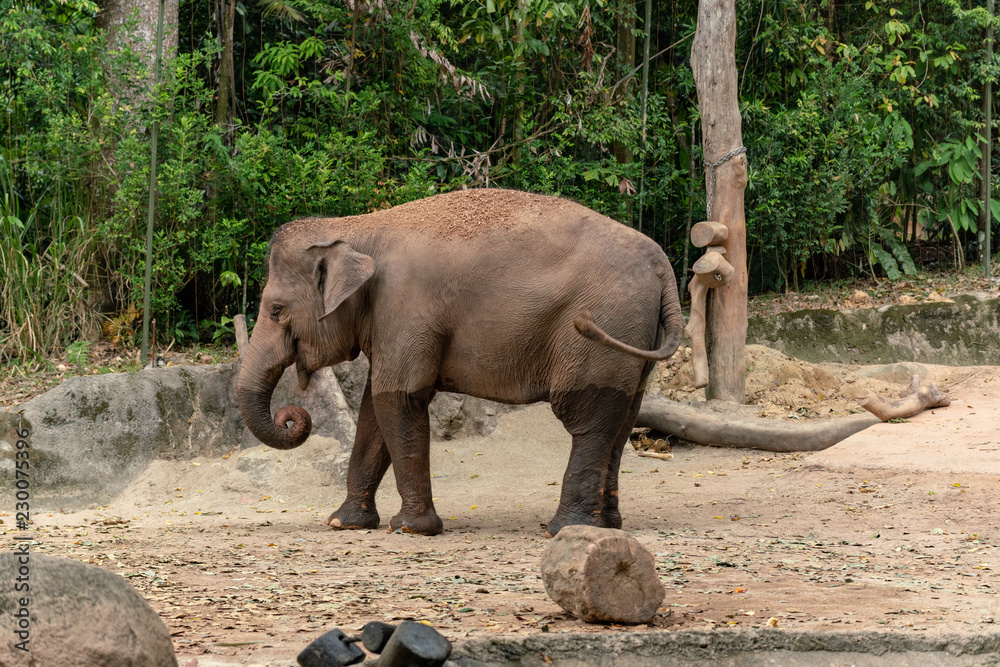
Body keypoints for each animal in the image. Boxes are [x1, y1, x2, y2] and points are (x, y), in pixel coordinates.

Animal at [237, 188, 683, 537]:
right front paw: (342, 523)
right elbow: (373, 410)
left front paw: (410, 529)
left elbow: (398, 401)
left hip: (599, 333)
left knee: (587, 419)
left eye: (275, 310)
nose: (291, 417)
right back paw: (607, 525)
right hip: (631, 342)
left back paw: (564, 529)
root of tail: (664, 269)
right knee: (621, 421)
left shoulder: (405, 309)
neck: (358, 227)